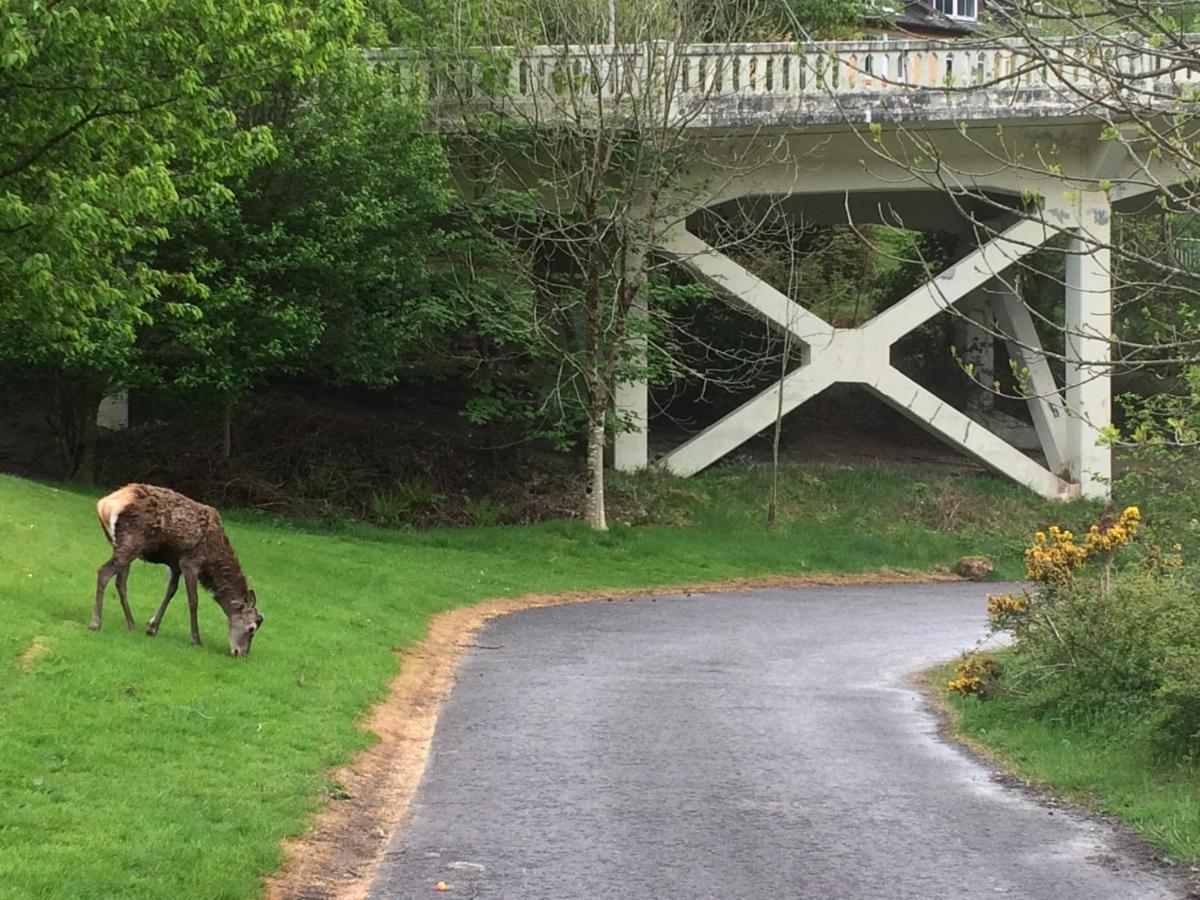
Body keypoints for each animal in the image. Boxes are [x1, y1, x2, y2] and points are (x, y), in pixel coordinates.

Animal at [92, 487, 264, 657]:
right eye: (252, 629)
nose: (240, 653)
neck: (212, 561)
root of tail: (104, 504)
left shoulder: (175, 565)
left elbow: (170, 592)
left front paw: (152, 627)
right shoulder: (190, 562)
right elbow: (193, 601)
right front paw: (195, 640)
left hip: (122, 546)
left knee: (120, 582)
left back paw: (131, 624)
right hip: (130, 542)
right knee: (104, 572)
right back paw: (96, 623)